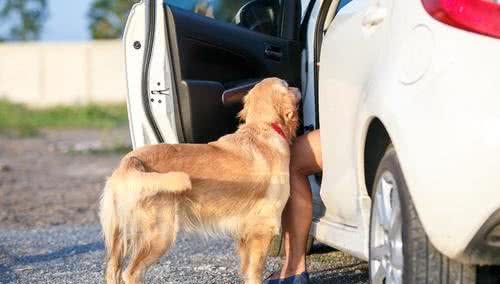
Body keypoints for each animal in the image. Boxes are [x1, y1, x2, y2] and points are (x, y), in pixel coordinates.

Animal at [99, 77, 298, 284]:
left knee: (113, 270)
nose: (297, 87)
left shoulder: (245, 232)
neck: (264, 127)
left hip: (119, 239)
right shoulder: (263, 228)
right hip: (159, 234)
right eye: (287, 84)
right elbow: (255, 271)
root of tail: (130, 161)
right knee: (131, 272)